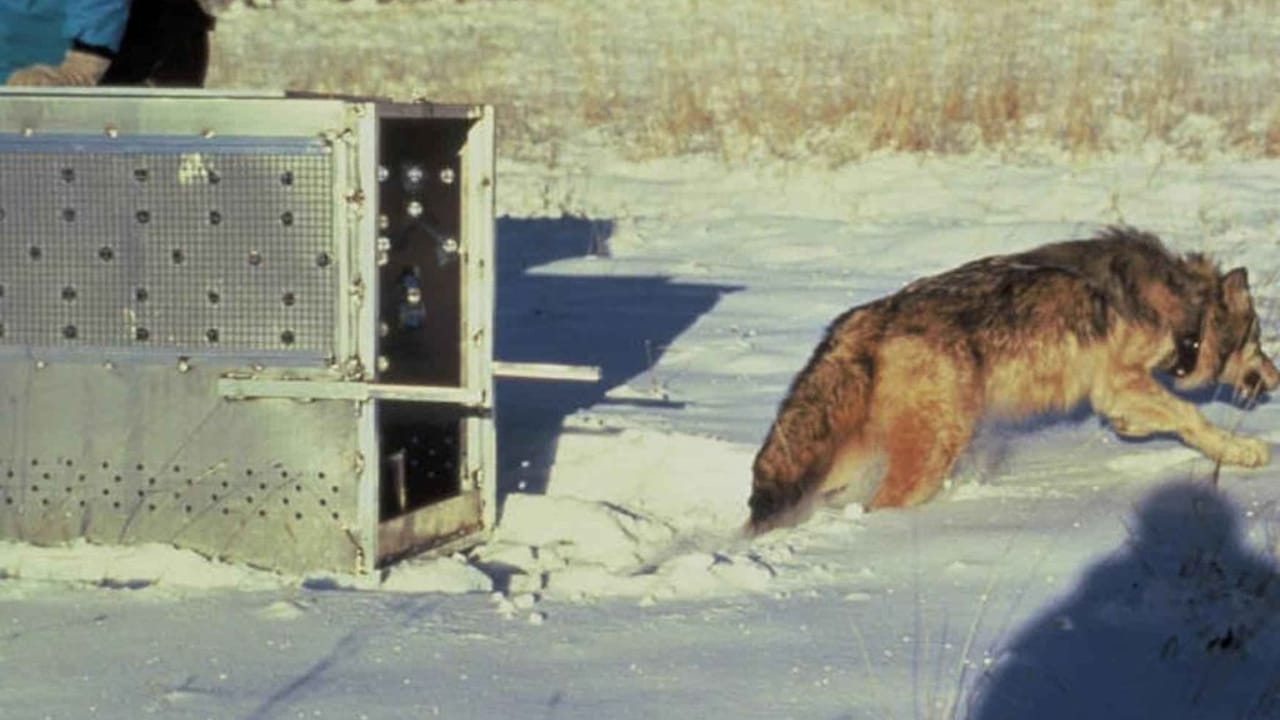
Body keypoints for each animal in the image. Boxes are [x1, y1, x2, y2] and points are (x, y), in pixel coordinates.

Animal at [749, 226, 1280, 532]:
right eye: (1259, 339)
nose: (1276, 378)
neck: (1183, 307)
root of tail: (866, 318)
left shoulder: (1118, 393)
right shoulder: (1119, 383)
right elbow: (1192, 417)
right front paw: (1246, 452)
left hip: (842, 460)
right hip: (935, 447)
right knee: (885, 503)